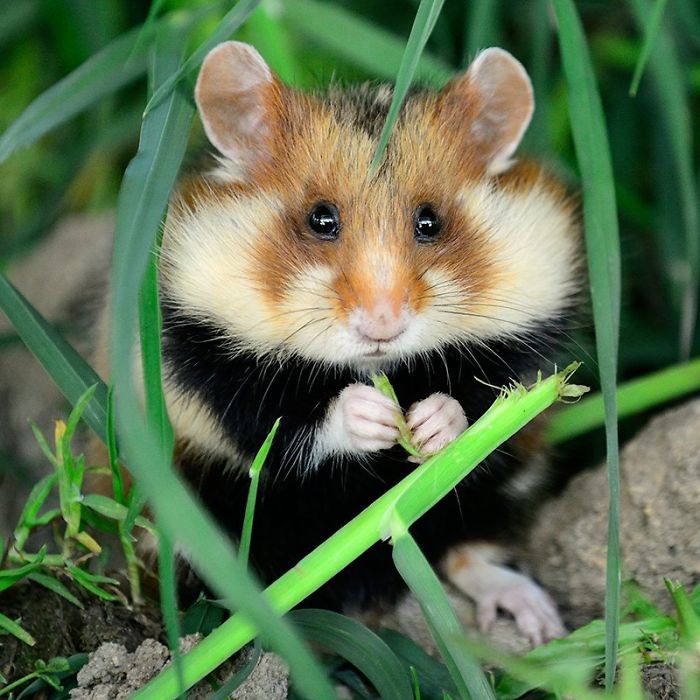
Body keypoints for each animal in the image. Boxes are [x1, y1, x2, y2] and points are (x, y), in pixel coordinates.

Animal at [155, 41, 581, 645]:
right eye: (321, 219)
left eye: (430, 221)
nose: (383, 326)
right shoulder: (208, 363)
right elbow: (278, 426)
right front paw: (373, 415)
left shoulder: (522, 349)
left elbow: (485, 404)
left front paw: (429, 424)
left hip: (494, 492)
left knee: (464, 548)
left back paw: (539, 621)